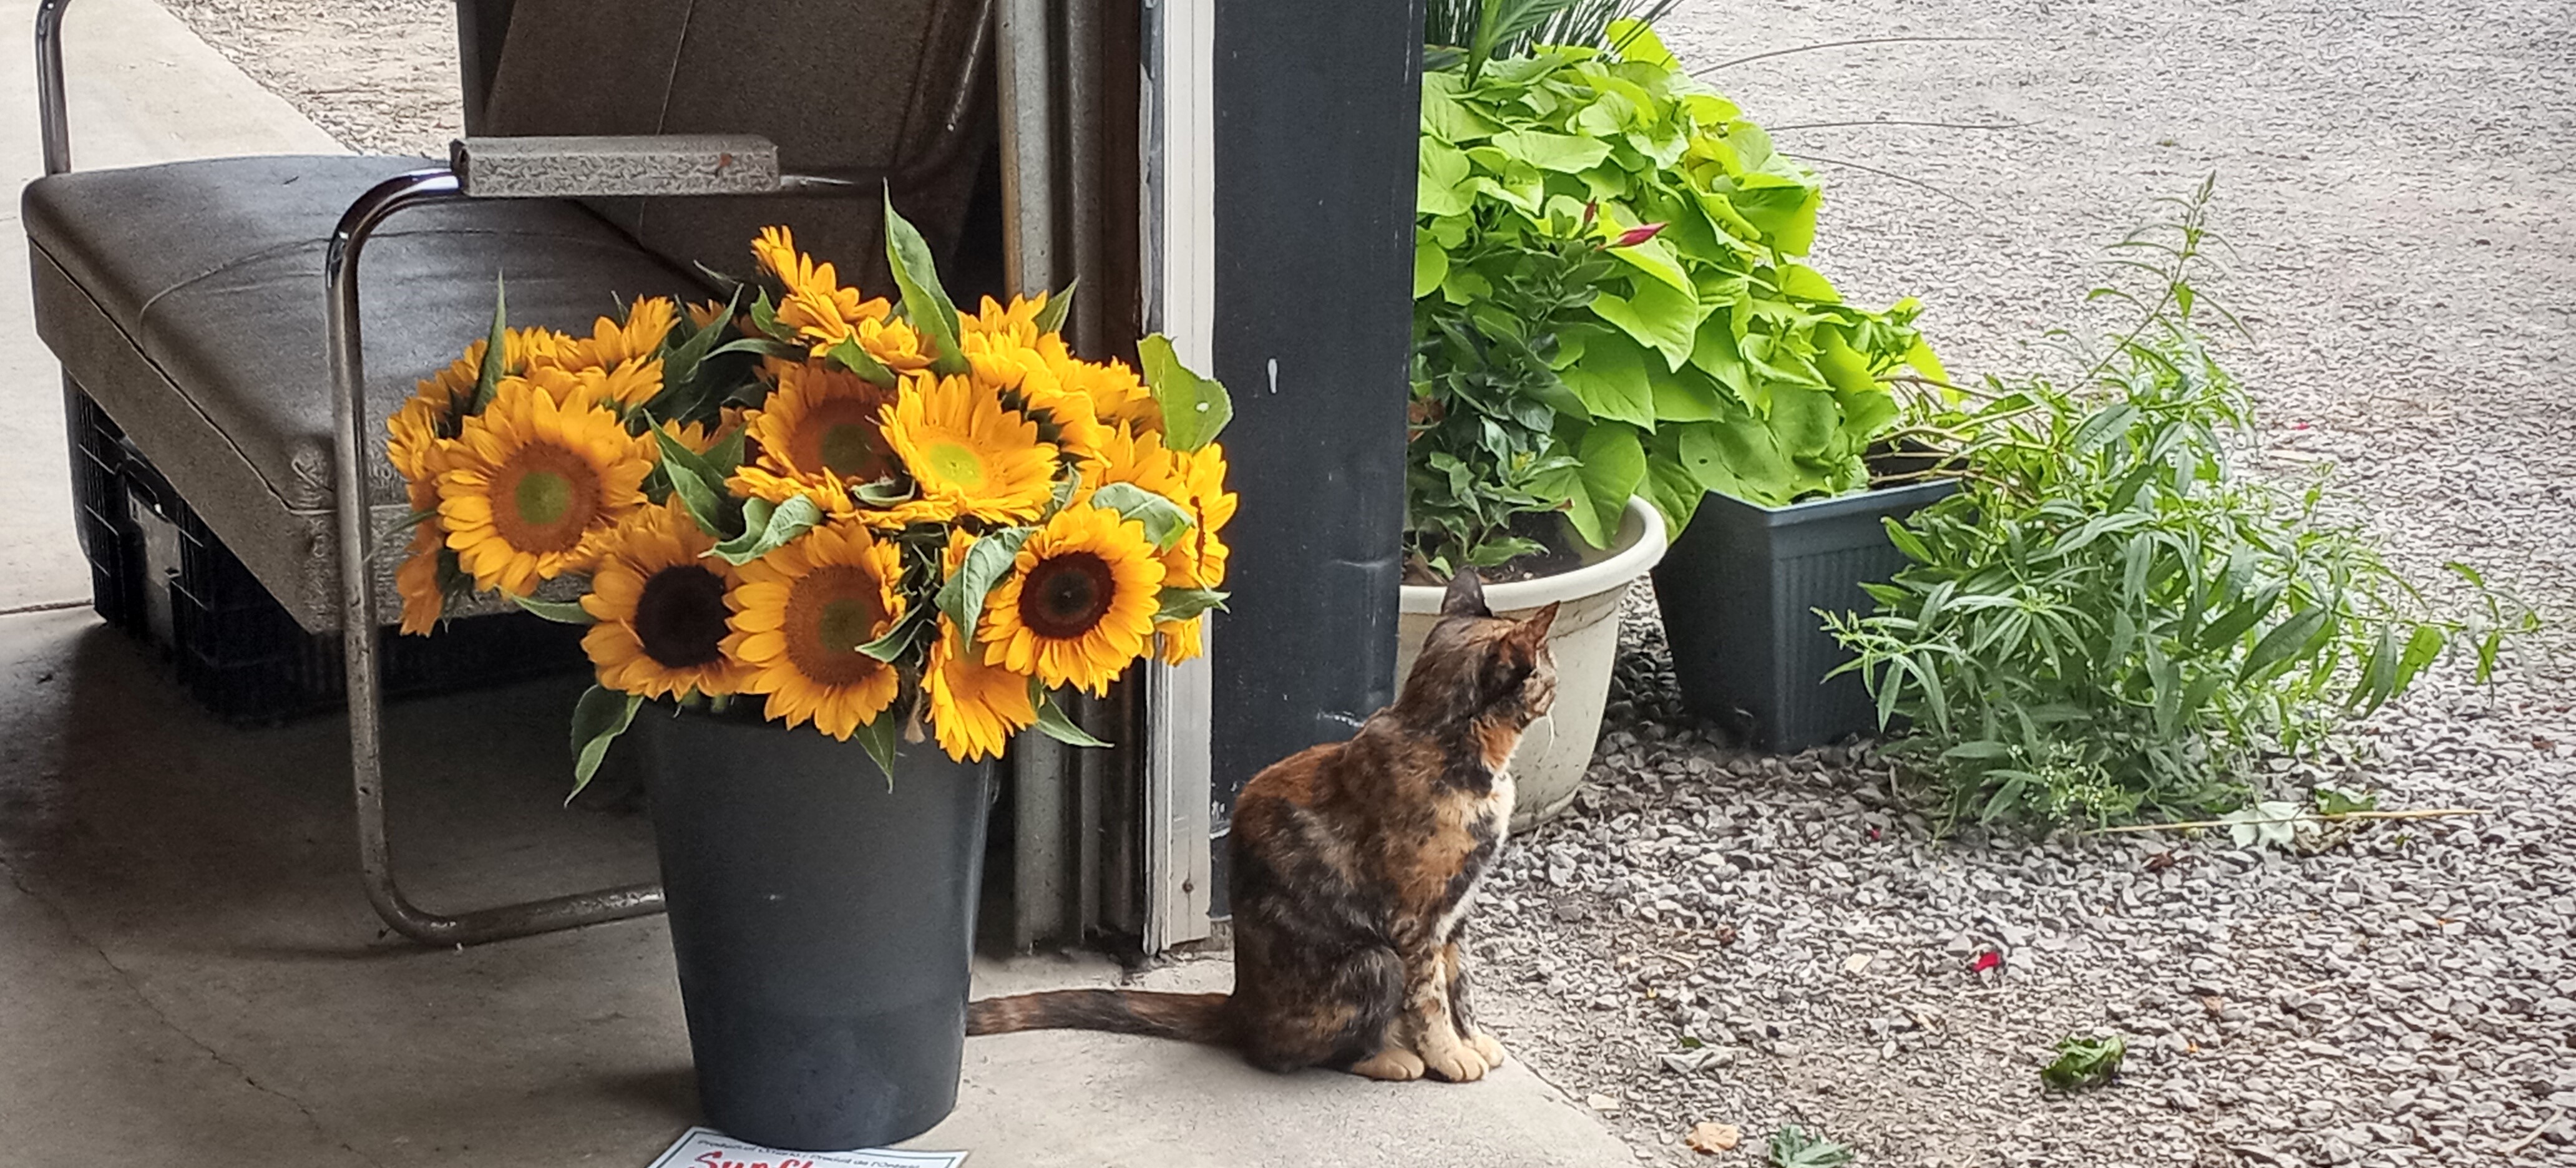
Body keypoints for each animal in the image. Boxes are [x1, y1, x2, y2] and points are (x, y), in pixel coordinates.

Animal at [967, 569, 1558, 1083]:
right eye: (1548, 666)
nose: (1556, 681)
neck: (1443, 739)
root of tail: (1240, 1006)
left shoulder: (1456, 914)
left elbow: (1462, 985)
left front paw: (1473, 1040)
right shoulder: (1417, 923)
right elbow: (1431, 996)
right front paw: (1449, 1055)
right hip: (1373, 961)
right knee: (1291, 1055)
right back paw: (1391, 1058)